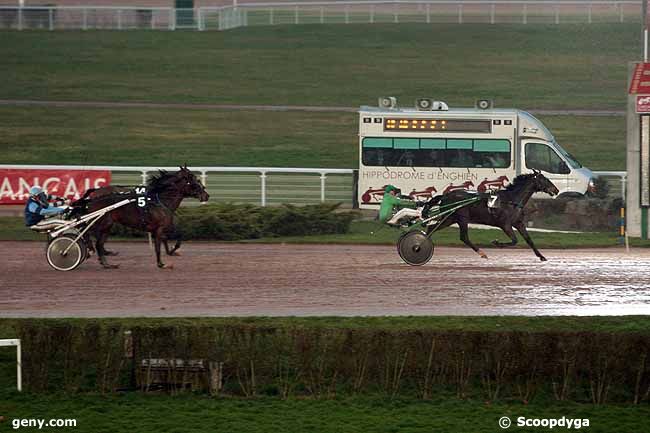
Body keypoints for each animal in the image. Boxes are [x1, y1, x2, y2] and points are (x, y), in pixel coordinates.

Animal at [74, 165, 209, 266]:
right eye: (193, 180)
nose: (206, 195)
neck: (160, 200)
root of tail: (92, 199)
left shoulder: (163, 226)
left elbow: (175, 237)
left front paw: (171, 251)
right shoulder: (160, 227)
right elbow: (160, 244)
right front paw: (162, 262)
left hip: (107, 224)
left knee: (96, 238)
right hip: (101, 222)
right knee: (84, 230)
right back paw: (90, 250)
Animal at [426, 170, 556, 260]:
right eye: (545, 179)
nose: (556, 190)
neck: (511, 200)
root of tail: (445, 195)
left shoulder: (518, 223)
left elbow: (529, 240)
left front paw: (541, 256)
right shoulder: (505, 224)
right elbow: (514, 240)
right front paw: (497, 243)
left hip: (450, 218)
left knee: (431, 228)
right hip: (461, 218)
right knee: (464, 237)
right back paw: (482, 253)